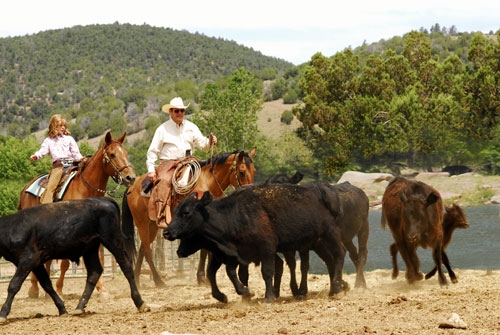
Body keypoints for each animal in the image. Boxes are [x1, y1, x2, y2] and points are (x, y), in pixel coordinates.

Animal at [0, 198, 148, 324]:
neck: (11, 228)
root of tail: (104, 199)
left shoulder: (28, 260)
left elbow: (14, 285)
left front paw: (3, 314)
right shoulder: (36, 263)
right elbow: (47, 284)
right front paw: (62, 309)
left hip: (113, 240)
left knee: (126, 266)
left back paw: (140, 303)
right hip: (91, 248)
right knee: (94, 272)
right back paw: (79, 307)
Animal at [17, 131, 136, 300]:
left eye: (125, 153)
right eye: (112, 154)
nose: (130, 177)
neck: (85, 189)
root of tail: (25, 189)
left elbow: (97, 259)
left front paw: (102, 290)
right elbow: (66, 263)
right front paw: (60, 290)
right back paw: (34, 289)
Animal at [120, 150, 254, 288]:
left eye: (254, 170)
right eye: (242, 172)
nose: (249, 191)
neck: (207, 184)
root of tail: (132, 187)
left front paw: (205, 277)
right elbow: (204, 249)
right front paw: (202, 277)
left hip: (152, 225)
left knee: (142, 249)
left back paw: (137, 279)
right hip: (141, 223)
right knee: (147, 251)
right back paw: (158, 281)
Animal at [164, 185, 348, 304]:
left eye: (186, 212)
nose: (166, 232)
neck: (235, 215)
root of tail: (328, 191)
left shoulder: (266, 249)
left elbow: (266, 272)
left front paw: (267, 297)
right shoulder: (229, 254)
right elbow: (221, 273)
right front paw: (228, 295)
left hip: (330, 234)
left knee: (339, 253)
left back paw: (337, 288)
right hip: (318, 242)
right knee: (330, 261)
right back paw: (334, 288)